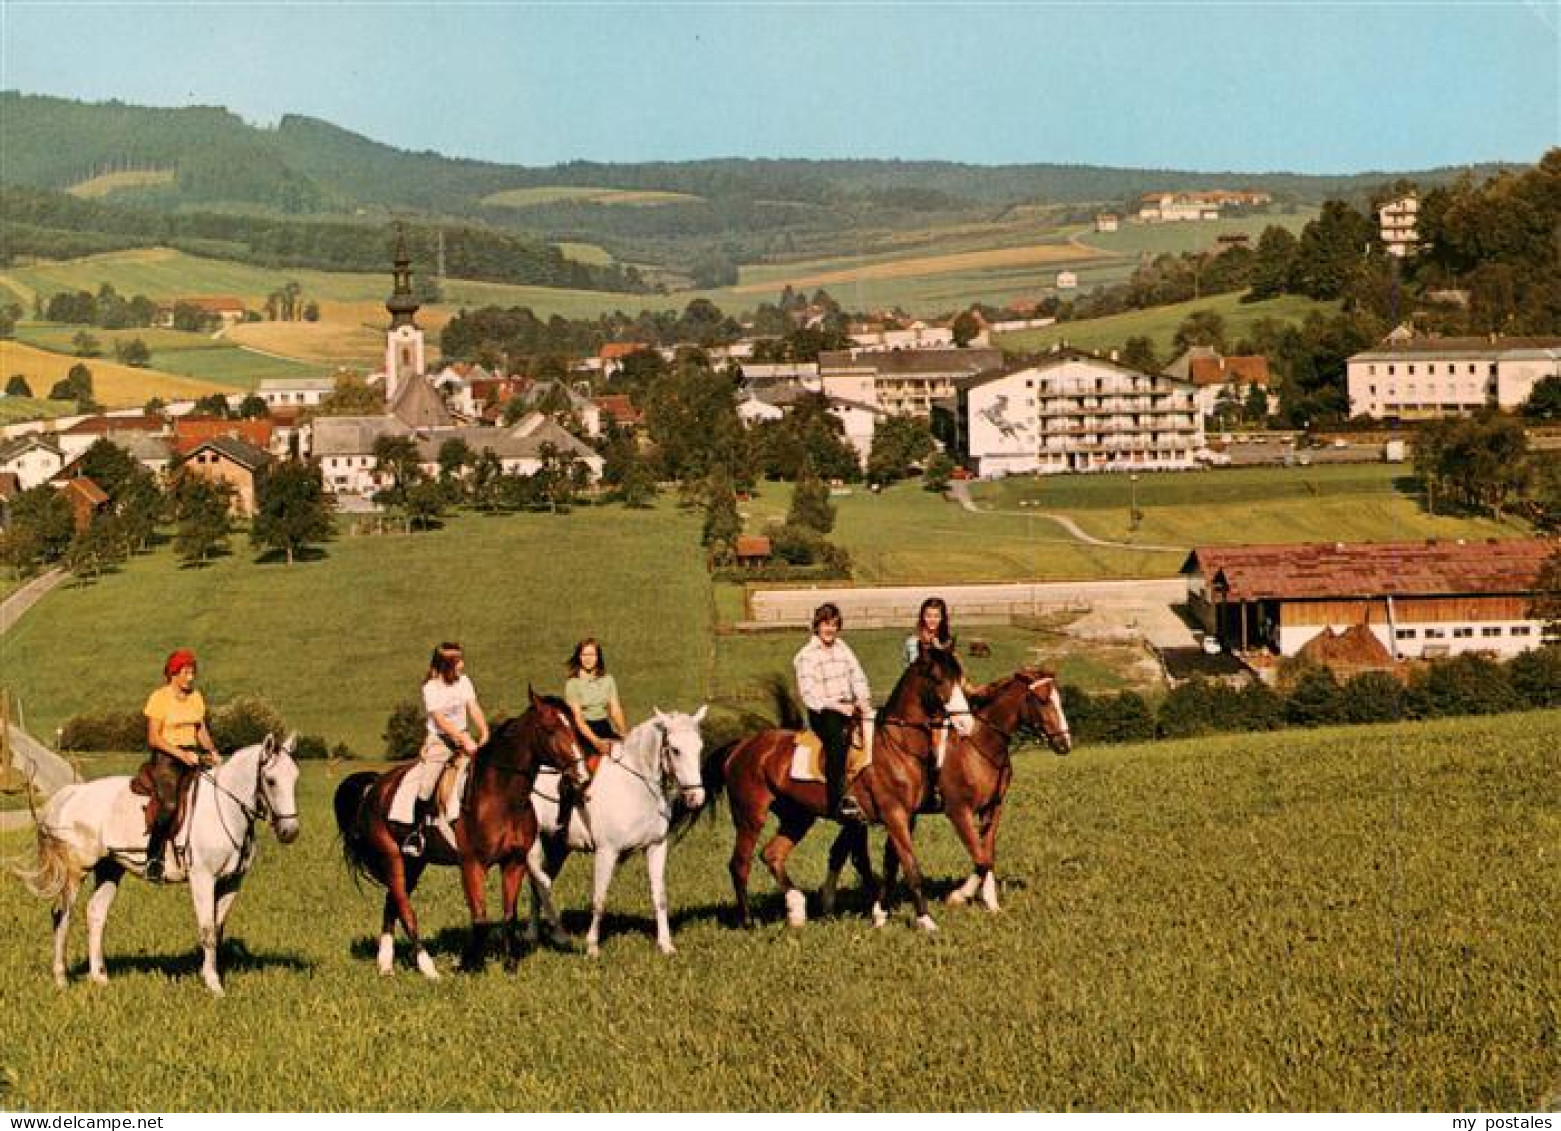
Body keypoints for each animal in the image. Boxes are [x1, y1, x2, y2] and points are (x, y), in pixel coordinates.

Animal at [19, 726, 302, 992]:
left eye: (295, 778)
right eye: (271, 780)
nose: (290, 832)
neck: (226, 808)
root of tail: (71, 793)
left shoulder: (232, 882)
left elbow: (218, 928)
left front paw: (213, 974)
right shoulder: (202, 879)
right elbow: (208, 930)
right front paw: (213, 984)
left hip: (110, 868)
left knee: (96, 913)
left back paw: (99, 978)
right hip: (76, 871)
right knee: (61, 915)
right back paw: (61, 978)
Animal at [335, 689, 590, 979]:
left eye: (575, 727)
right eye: (550, 729)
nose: (582, 775)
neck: (501, 797)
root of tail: (375, 787)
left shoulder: (514, 862)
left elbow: (509, 914)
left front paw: (510, 965)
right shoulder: (472, 864)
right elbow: (479, 917)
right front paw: (469, 965)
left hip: (414, 861)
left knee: (392, 903)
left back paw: (386, 965)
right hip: (392, 858)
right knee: (404, 907)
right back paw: (428, 969)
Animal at [530, 705, 714, 954]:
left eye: (699, 747)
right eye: (675, 750)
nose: (696, 798)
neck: (636, 786)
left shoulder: (656, 847)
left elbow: (660, 896)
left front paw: (666, 945)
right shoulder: (606, 852)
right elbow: (599, 898)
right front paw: (592, 947)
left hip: (557, 848)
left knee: (538, 885)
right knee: (536, 881)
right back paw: (538, 934)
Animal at [702, 642, 967, 935]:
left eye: (959, 676)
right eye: (938, 679)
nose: (964, 723)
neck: (897, 745)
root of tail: (740, 747)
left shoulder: (907, 817)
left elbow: (891, 864)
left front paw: (881, 914)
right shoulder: (894, 814)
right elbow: (910, 866)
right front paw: (926, 920)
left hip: (797, 817)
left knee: (771, 854)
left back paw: (797, 911)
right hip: (750, 816)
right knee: (740, 864)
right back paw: (749, 921)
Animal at [817, 667, 1073, 923]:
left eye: (1060, 699)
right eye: (1042, 700)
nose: (1064, 743)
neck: (978, 744)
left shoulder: (992, 808)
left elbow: (987, 854)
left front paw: (992, 904)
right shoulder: (959, 810)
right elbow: (981, 858)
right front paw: (958, 896)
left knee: (841, 853)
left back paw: (836, 906)